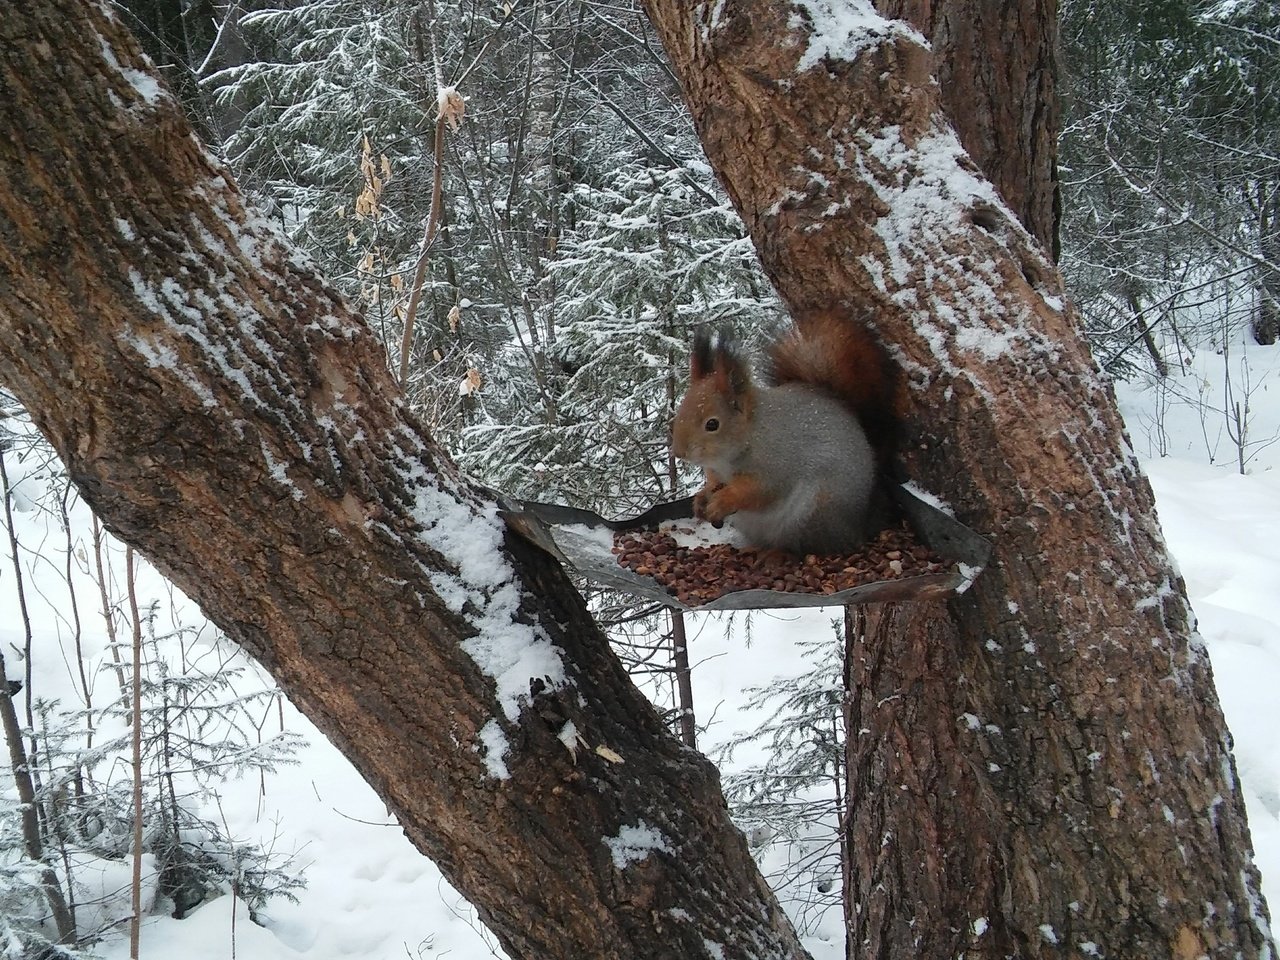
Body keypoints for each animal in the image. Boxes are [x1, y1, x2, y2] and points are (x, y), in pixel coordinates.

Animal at [670, 313, 901, 555]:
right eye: (681, 410)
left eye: (712, 424)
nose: (679, 452)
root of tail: (859, 525)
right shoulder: (716, 471)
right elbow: (713, 483)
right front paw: (701, 498)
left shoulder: (775, 466)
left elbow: (757, 492)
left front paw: (724, 500)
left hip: (816, 510)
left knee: (808, 546)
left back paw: (774, 554)